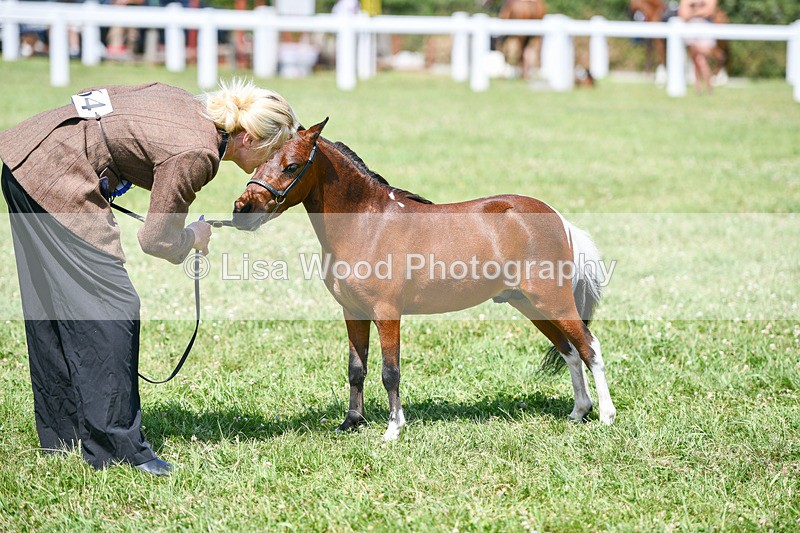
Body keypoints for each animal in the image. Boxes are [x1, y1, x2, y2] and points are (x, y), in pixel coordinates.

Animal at [231, 119, 617, 441]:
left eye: (292, 166)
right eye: (258, 162)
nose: (242, 209)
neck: (367, 224)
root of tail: (559, 219)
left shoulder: (386, 312)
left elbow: (390, 371)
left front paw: (392, 430)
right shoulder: (353, 312)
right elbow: (356, 369)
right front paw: (351, 423)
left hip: (553, 301)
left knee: (590, 347)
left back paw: (606, 416)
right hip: (532, 306)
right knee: (570, 351)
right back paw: (579, 412)